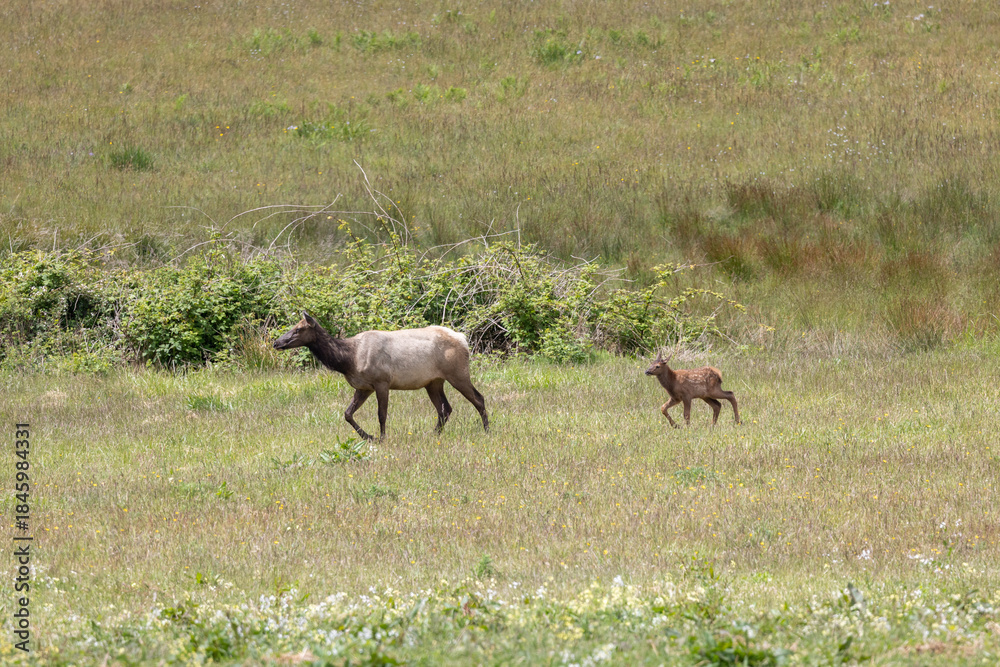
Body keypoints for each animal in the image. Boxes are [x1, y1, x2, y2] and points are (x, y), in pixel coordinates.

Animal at [273, 312, 489, 441]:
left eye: (298, 329)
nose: (276, 342)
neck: (348, 360)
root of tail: (463, 339)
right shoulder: (363, 387)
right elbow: (347, 413)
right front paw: (368, 437)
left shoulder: (382, 381)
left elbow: (381, 414)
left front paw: (381, 437)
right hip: (433, 381)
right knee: (445, 408)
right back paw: (433, 434)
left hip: (458, 373)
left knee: (478, 398)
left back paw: (487, 430)